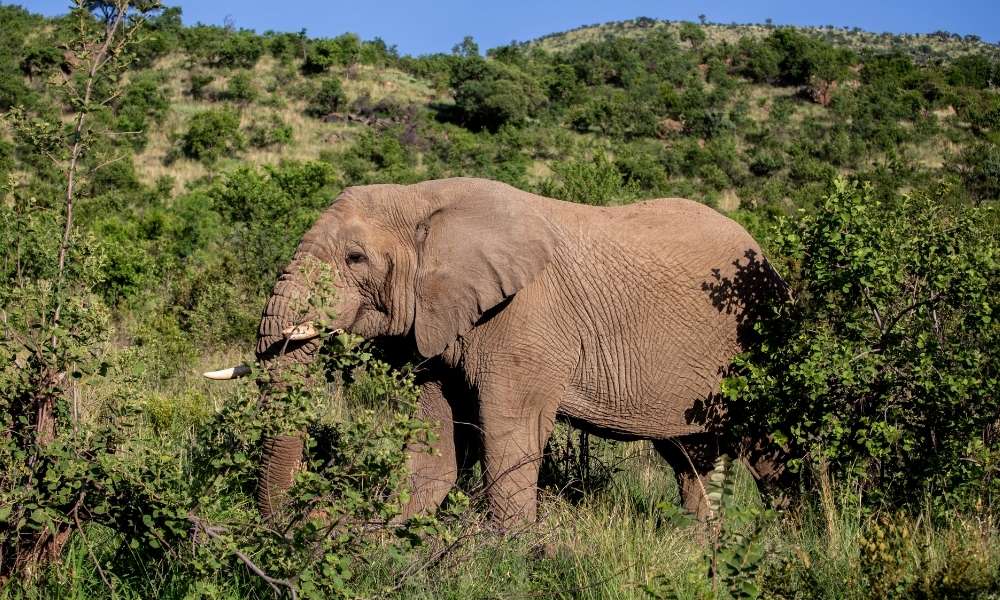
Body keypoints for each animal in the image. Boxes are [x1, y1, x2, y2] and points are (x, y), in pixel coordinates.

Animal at [205, 177, 789, 526]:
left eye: (355, 259)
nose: (306, 517)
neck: (422, 200)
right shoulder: (440, 324)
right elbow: (435, 443)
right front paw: (384, 536)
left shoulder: (528, 320)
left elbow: (509, 431)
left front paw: (507, 558)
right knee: (691, 457)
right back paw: (696, 552)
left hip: (762, 336)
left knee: (770, 453)